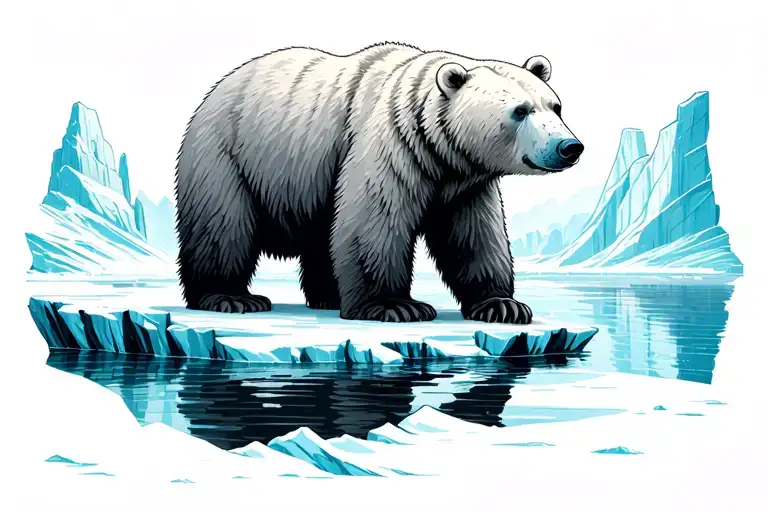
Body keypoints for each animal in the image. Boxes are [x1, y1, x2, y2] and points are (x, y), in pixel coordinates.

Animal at [174, 42, 583, 324]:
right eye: (520, 111)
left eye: (555, 106)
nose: (569, 147)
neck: (437, 145)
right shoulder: (392, 146)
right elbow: (375, 220)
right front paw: (396, 306)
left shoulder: (464, 184)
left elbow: (475, 235)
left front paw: (502, 305)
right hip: (228, 155)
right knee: (222, 225)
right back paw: (230, 297)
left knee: (324, 234)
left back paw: (329, 296)